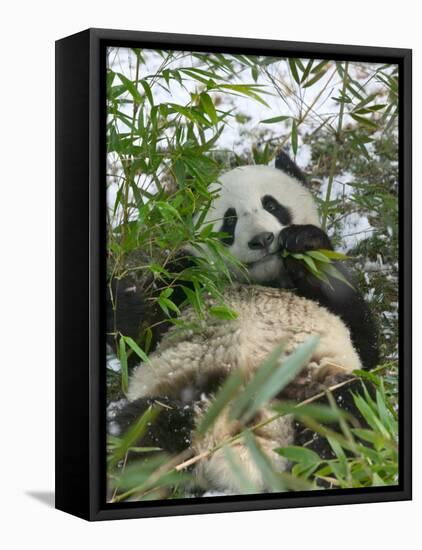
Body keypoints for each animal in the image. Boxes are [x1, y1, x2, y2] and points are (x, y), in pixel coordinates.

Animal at [109, 154, 380, 496]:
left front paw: (302, 243)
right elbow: (139, 344)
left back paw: (323, 472)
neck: (262, 279)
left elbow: (362, 336)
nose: (262, 239)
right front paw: (123, 297)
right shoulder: (185, 278)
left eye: (272, 205)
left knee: (348, 410)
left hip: (312, 393)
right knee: (138, 433)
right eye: (229, 220)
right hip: (176, 403)